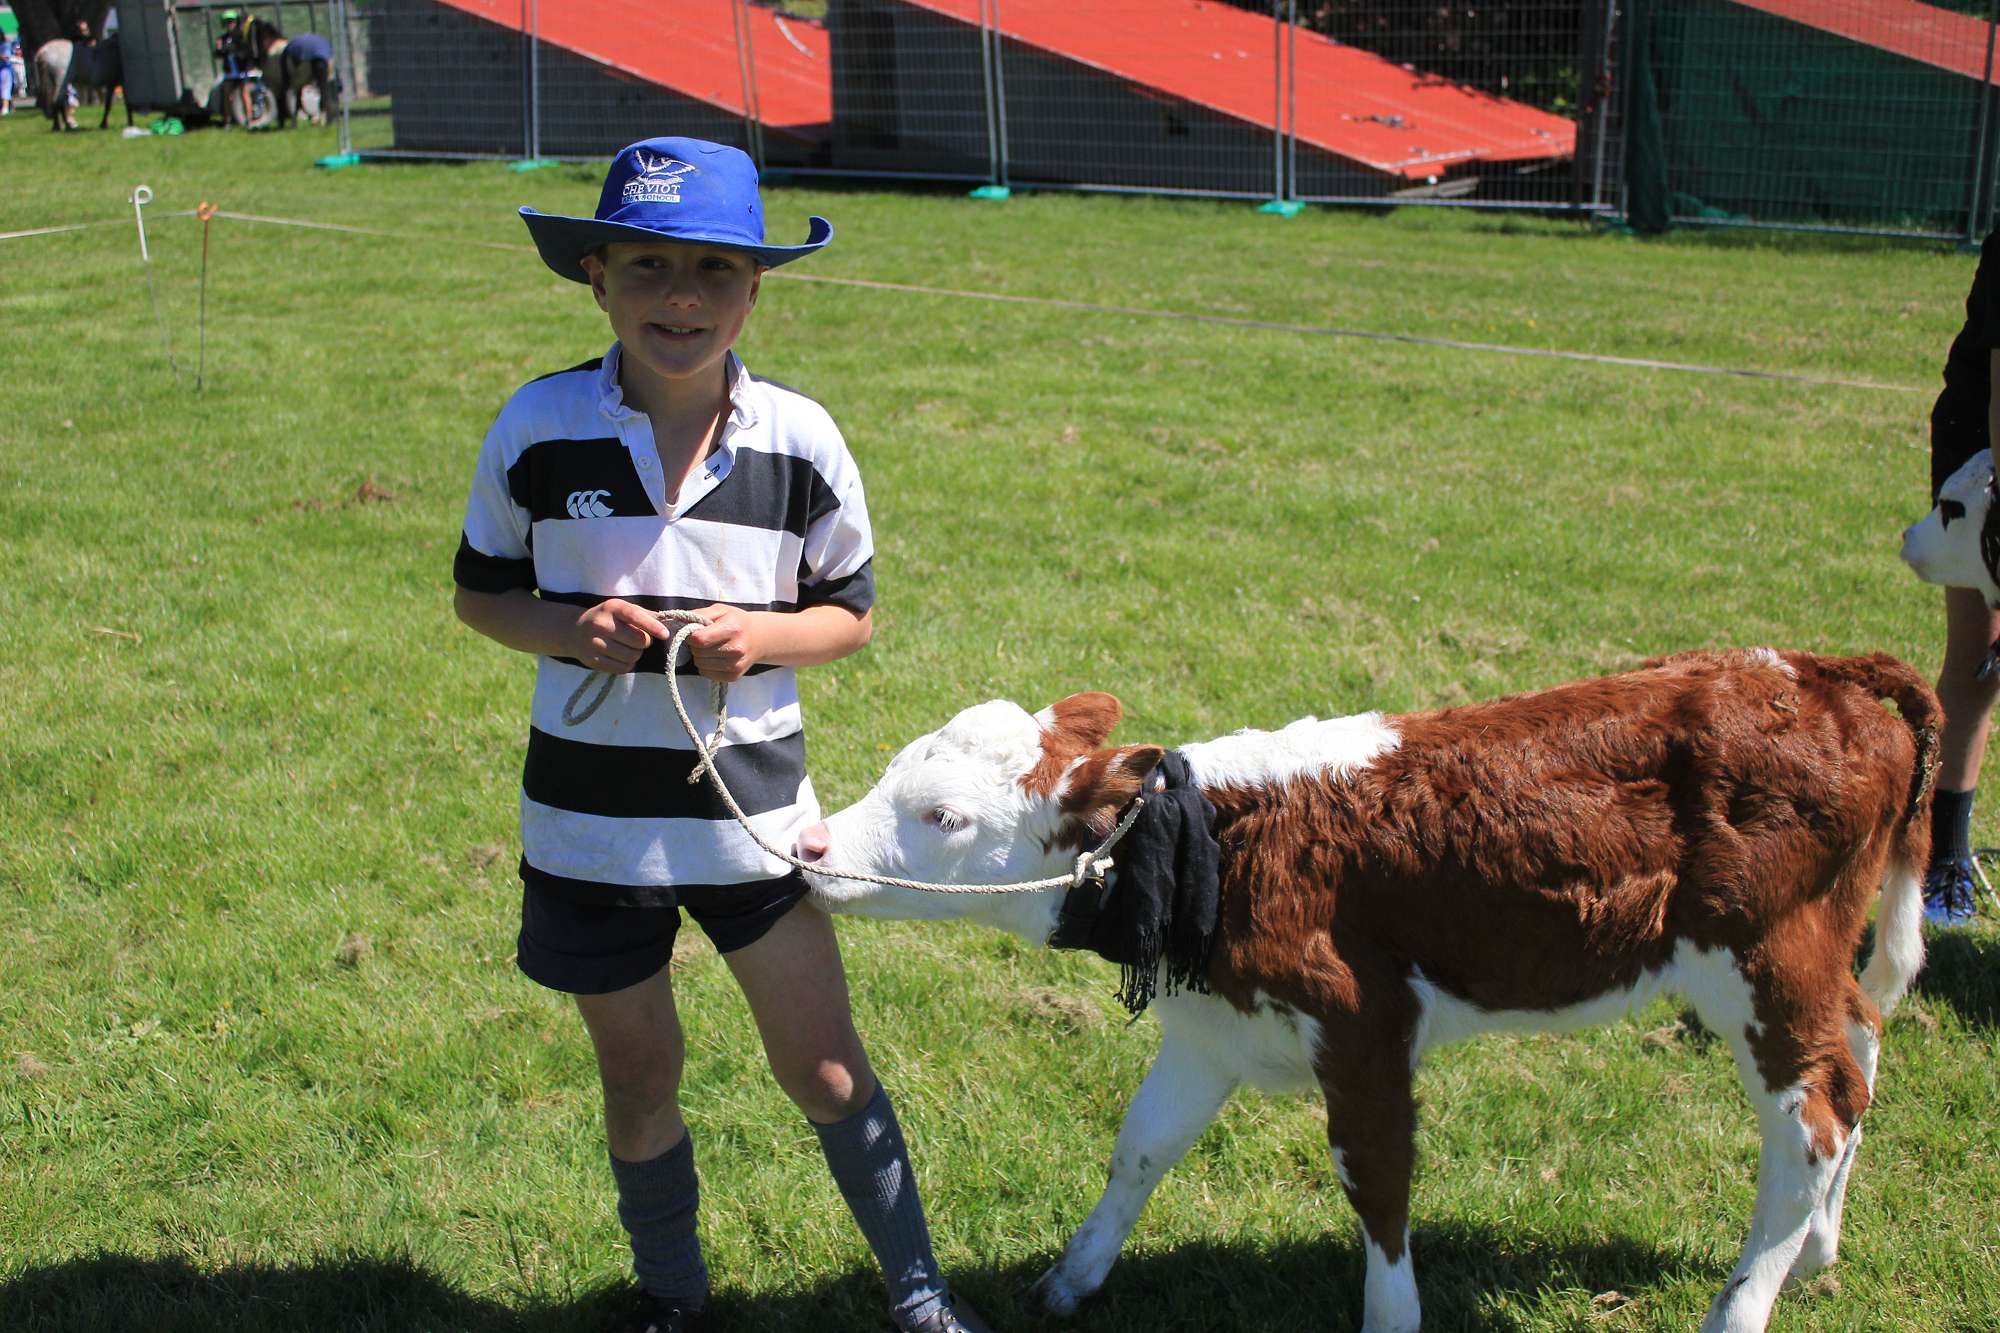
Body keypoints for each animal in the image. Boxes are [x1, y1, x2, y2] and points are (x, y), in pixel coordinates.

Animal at [796, 648, 1936, 1328]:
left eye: (943, 815)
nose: (806, 846)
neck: (1219, 845)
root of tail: (1814, 668)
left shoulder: (1361, 1030)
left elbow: (1377, 1183)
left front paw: (1392, 1315)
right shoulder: (1210, 1030)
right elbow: (1141, 1147)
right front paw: (1072, 1278)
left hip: (1763, 961)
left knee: (1812, 1120)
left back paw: (1745, 1299)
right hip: (1814, 960)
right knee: (1860, 1049)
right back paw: (1819, 1246)